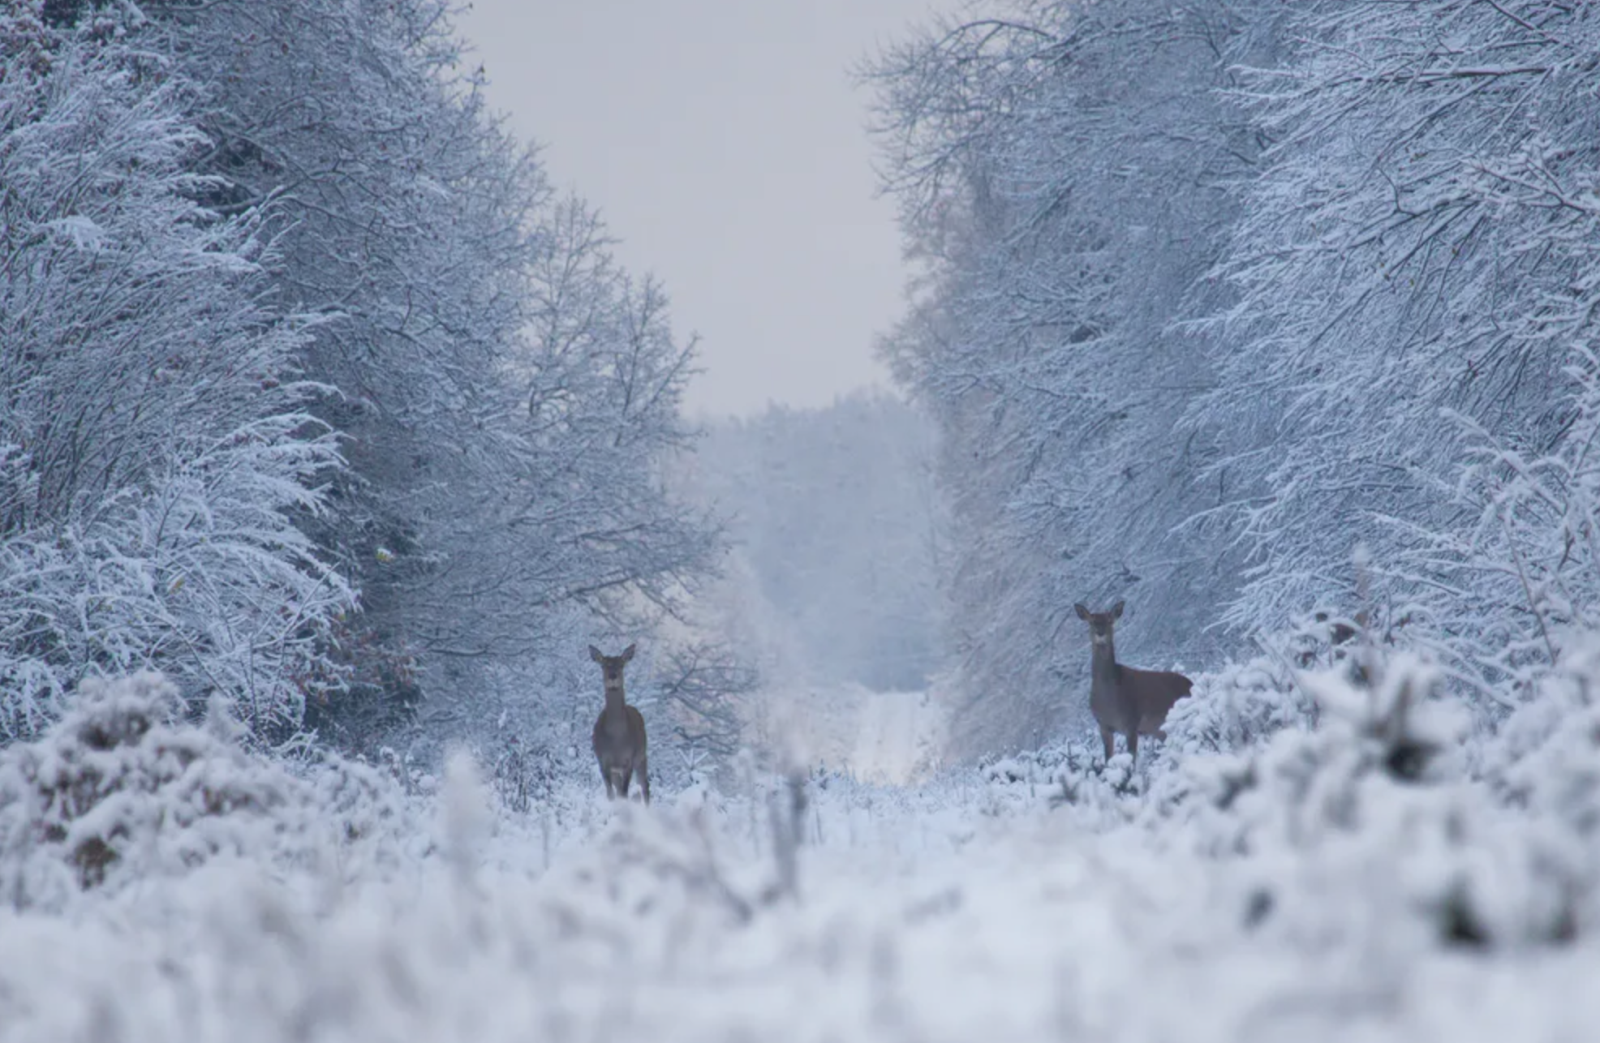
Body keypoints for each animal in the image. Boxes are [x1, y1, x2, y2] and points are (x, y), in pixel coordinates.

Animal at [588, 639, 649, 803]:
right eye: (603, 665)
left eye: (621, 664)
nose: (613, 676)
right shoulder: (603, 762)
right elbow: (611, 795)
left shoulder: (629, 760)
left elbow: (624, 793)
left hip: (642, 756)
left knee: (645, 785)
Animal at [1075, 601, 1190, 764]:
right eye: (1091, 621)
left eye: (1110, 620)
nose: (1100, 633)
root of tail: (1191, 684)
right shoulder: (1103, 726)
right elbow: (1108, 760)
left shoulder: (1131, 723)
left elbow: (1131, 762)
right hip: (1158, 729)